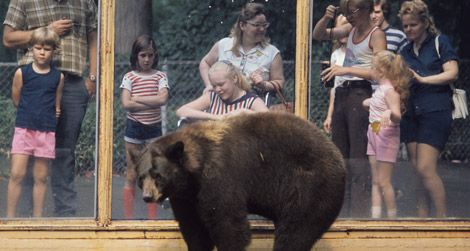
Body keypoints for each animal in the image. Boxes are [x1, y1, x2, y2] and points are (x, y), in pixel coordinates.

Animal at [132, 112, 346, 251]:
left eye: (158, 175)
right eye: (141, 177)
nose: (147, 197)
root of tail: (338, 156)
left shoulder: (220, 178)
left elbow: (228, 223)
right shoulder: (186, 198)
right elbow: (194, 228)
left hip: (310, 187)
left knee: (295, 231)